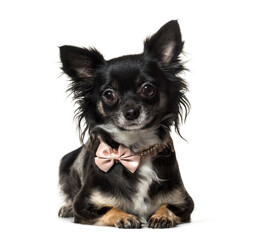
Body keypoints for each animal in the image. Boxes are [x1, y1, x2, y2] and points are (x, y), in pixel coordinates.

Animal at [57, 19, 193, 228]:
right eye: (108, 94)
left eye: (148, 88)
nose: (131, 112)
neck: (135, 151)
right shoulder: (83, 205)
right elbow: (109, 208)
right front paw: (124, 216)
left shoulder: (184, 202)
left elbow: (167, 205)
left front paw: (162, 215)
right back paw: (67, 207)